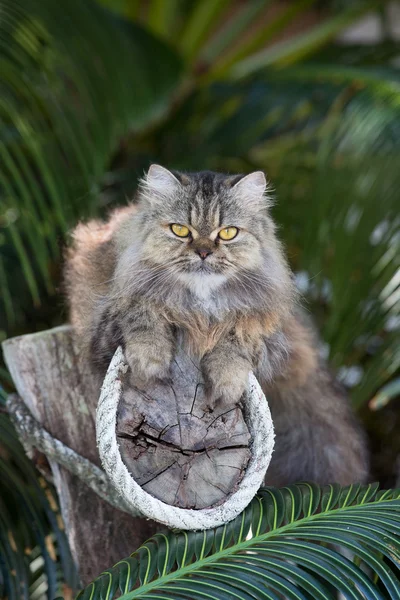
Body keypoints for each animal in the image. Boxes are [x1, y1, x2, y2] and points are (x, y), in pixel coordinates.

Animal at [65, 164, 368, 488]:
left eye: (228, 233)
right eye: (180, 230)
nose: (203, 252)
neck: (200, 308)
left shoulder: (268, 337)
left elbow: (236, 344)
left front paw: (225, 381)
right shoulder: (106, 325)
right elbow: (143, 315)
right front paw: (150, 362)